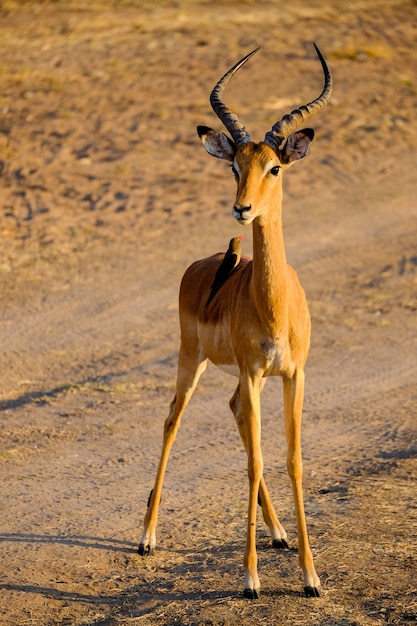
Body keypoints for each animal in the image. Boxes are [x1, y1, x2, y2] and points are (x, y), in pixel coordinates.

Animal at [139, 41, 332, 596]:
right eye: (235, 166)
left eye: (275, 168)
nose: (242, 209)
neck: (274, 305)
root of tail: (201, 264)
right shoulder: (252, 372)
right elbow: (253, 461)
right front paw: (249, 579)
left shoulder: (293, 374)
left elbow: (291, 460)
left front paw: (311, 577)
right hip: (193, 361)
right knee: (172, 420)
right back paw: (147, 538)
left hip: (244, 377)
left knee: (234, 415)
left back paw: (279, 534)